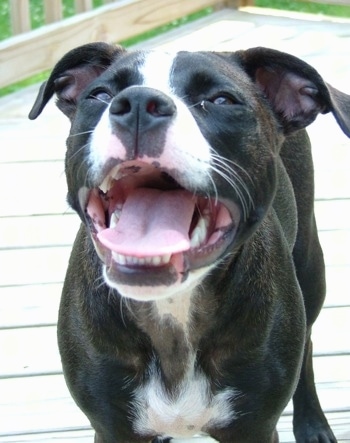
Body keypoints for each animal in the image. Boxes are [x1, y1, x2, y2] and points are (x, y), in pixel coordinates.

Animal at [28, 42, 350, 443]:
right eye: (100, 95)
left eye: (221, 100)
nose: (138, 103)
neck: (172, 311)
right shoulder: (112, 428)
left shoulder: (255, 428)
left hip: (309, 267)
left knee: (307, 342)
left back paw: (312, 424)